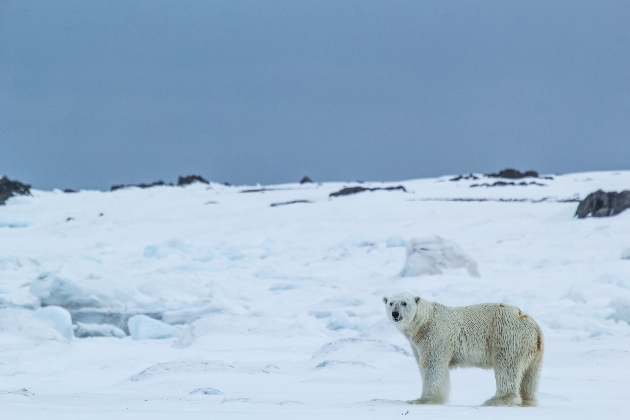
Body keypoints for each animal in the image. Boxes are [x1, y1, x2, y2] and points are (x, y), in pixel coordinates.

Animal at [382, 292, 544, 406]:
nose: (395, 314)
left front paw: (422, 400)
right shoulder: (417, 344)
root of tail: (534, 325)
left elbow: (432, 367)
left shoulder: (436, 336)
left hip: (507, 335)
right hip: (533, 349)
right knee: (530, 375)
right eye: (391, 303)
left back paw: (495, 400)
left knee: (507, 367)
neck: (425, 321)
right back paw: (528, 401)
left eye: (404, 303)